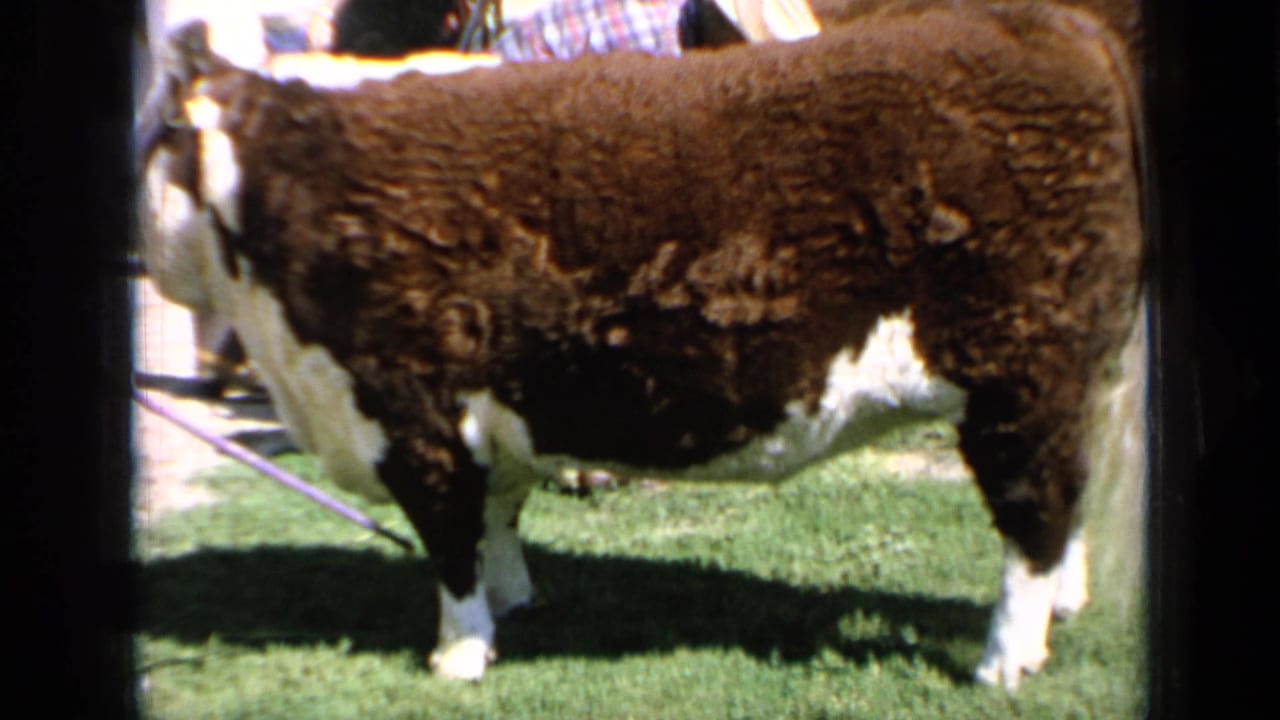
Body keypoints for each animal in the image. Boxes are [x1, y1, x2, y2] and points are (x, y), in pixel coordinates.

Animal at [138, 0, 1145, 690]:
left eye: (146, 132)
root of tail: (1049, 25)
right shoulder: (483, 410)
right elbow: (499, 517)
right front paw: (517, 603)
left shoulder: (407, 407)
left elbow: (450, 540)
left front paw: (459, 656)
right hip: (1069, 377)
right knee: (1069, 501)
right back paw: (1064, 608)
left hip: (1019, 373)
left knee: (1034, 512)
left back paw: (1005, 660)